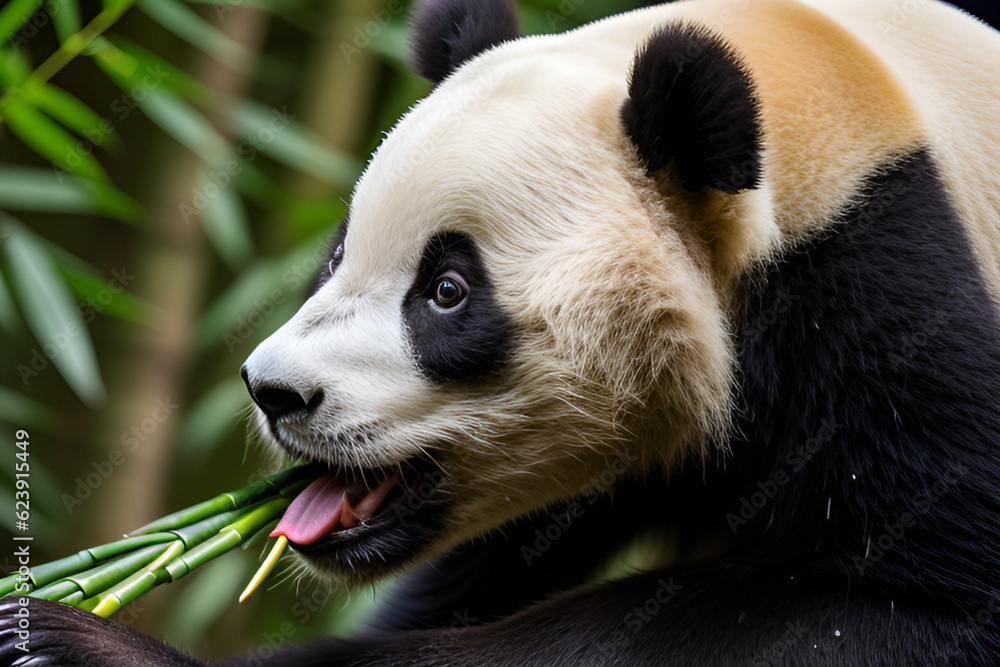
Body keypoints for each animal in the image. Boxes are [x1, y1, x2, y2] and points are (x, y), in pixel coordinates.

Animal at [3, 0, 1000, 664]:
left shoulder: (878, 293)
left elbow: (913, 608)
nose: (274, 391)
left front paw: (73, 640)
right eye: (337, 255)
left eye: (446, 291)